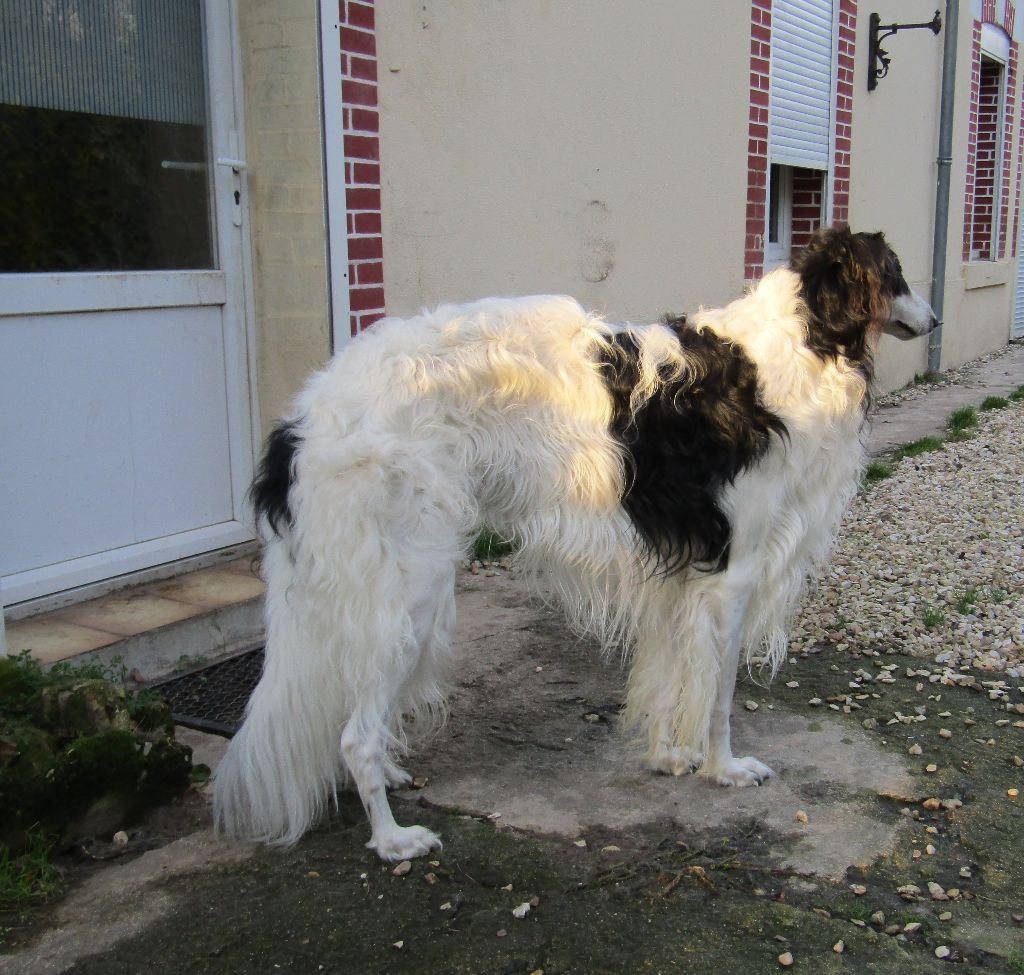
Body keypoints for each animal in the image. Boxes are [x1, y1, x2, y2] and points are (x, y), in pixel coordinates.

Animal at [214, 226, 936, 861]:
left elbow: (671, 677)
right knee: (354, 735)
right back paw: (392, 838)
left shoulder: (682, 576)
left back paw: (391, 777)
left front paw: (669, 756)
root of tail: (305, 415)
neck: (794, 347)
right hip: (408, 588)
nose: (933, 319)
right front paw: (724, 768)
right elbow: (718, 695)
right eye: (897, 273)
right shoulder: (732, 572)